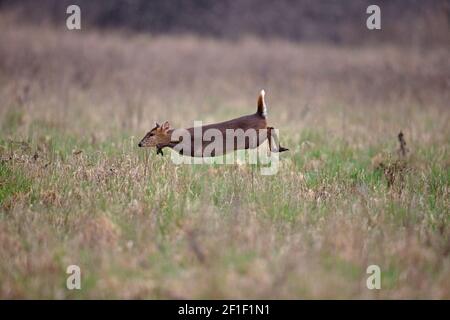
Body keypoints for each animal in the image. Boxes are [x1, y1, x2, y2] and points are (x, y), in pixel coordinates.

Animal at [137, 89, 290, 157]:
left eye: (151, 134)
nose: (139, 144)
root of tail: (259, 114)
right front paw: (159, 149)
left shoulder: (193, 147)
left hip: (254, 138)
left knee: (271, 128)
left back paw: (278, 149)